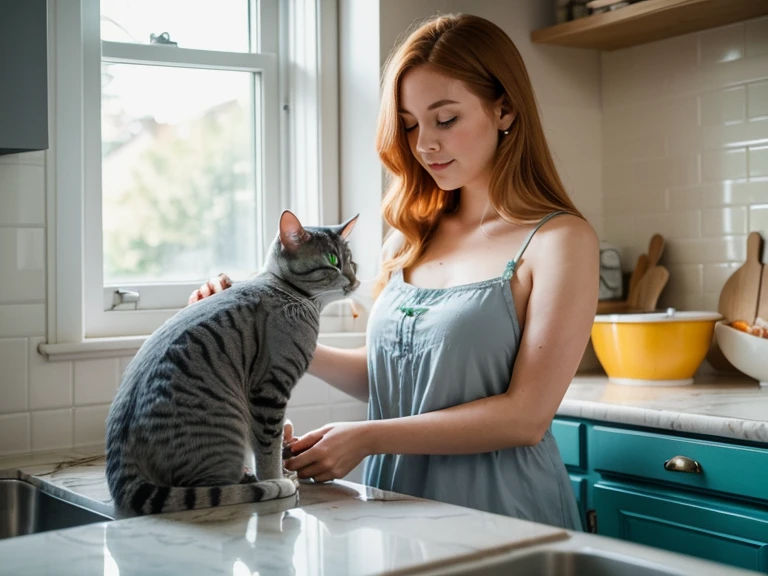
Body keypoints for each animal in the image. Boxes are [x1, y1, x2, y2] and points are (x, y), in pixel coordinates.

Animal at [105, 209, 360, 516]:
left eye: (352, 261)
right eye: (333, 262)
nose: (355, 280)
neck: (288, 293)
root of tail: (120, 461)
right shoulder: (270, 391)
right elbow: (268, 448)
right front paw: (276, 477)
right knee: (207, 487)